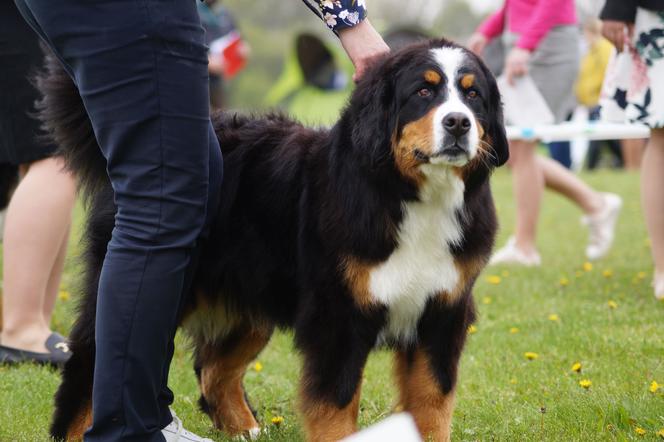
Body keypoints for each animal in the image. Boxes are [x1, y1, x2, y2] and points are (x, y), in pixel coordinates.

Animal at [37, 38, 508, 442]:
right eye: (423, 92)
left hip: (249, 297)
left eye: (473, 96)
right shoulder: (338, 317)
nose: (458, 123)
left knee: (214, 371)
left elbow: (432, 401)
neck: (412, 198)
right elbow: (336, 406)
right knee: (90, 366)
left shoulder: (442, 312)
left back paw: (246, 429)